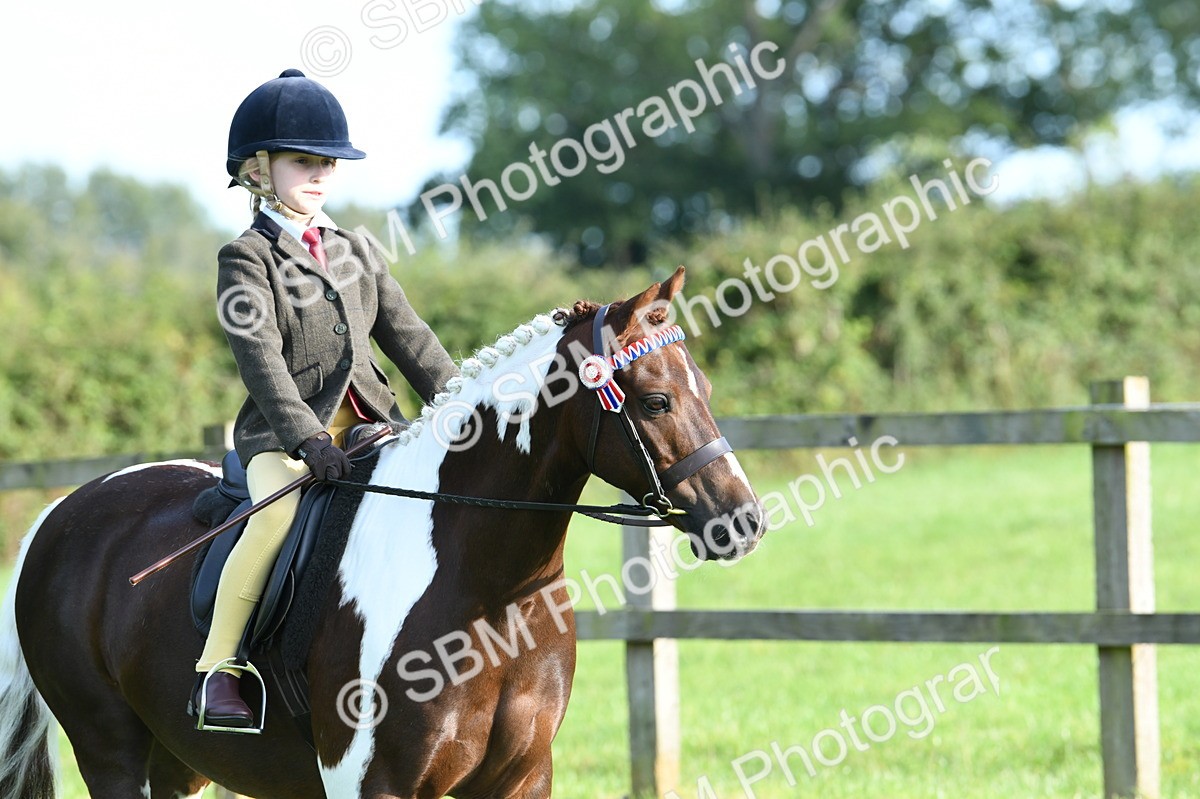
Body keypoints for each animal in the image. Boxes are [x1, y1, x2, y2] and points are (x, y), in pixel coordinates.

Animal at [0, 267, 765, 799]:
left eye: (703, 389)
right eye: (656, 400)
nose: (745, 521)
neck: (486, 587)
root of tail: (62, 513)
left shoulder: (521, 778)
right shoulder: (377, 780)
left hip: (181, 758)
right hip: (109, 747)